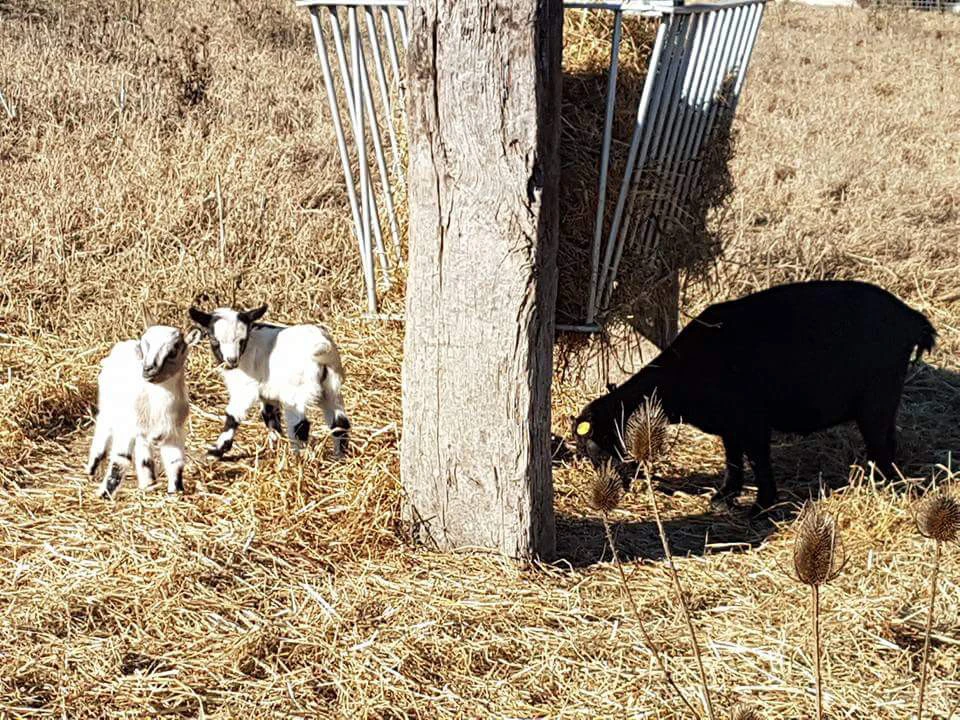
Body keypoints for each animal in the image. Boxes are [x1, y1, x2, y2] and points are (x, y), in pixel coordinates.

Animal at [572, 280, 932, 512]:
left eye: (598, 446)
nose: (612, 489)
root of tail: (912, 319)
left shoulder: (753, 422)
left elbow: (758, 459)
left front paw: (761, 505)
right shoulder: (729, 425)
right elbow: (732, 458)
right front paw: (724, 496)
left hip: (877, 400)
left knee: (881, 445)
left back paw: (885, 488)